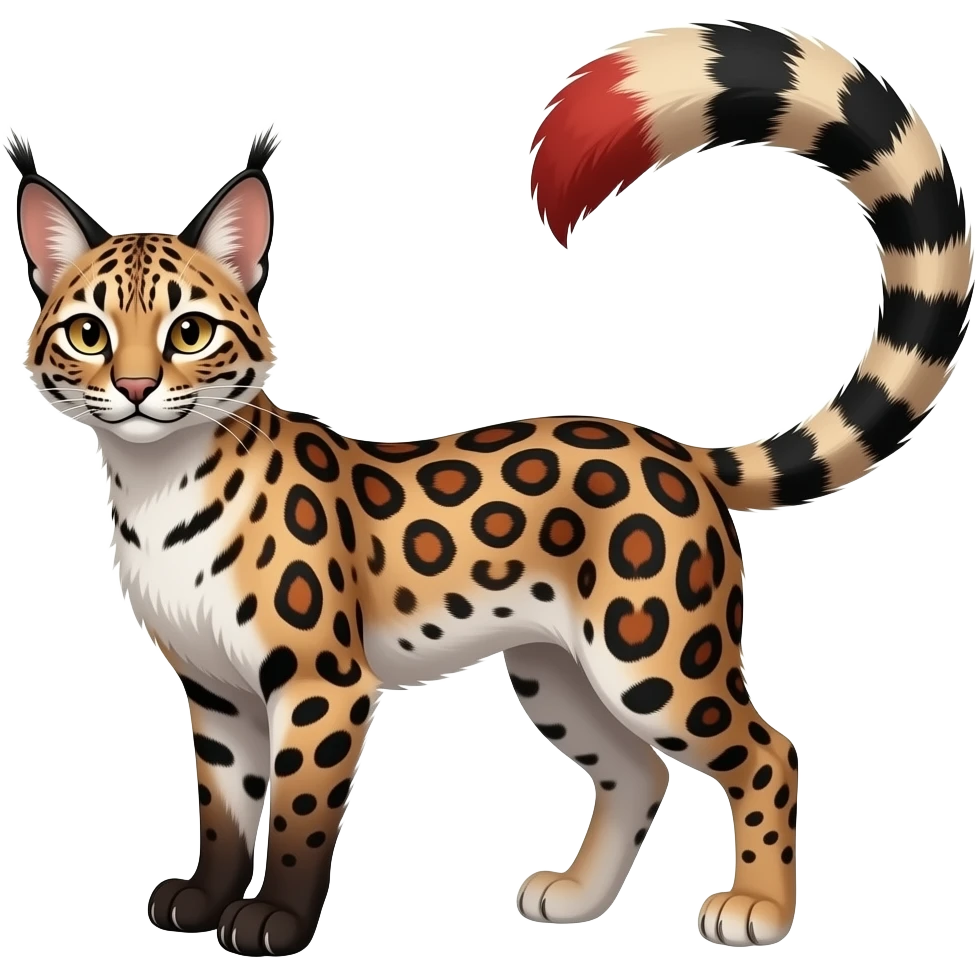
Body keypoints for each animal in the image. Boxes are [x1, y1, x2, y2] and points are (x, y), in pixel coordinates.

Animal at [7, 21, 973, 957]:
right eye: (89, 333)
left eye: (190, 331)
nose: (135, 388)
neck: (156, 487)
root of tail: (676, 450)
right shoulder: (215, 691)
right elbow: (221, 809)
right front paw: (204, 900)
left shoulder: (321, 684)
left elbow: (297, 815)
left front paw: (275, 918)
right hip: (556, 668)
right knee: (639, 769)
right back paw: (577, 898)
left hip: (652, 656)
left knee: (767, 753)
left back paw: (758, 910)